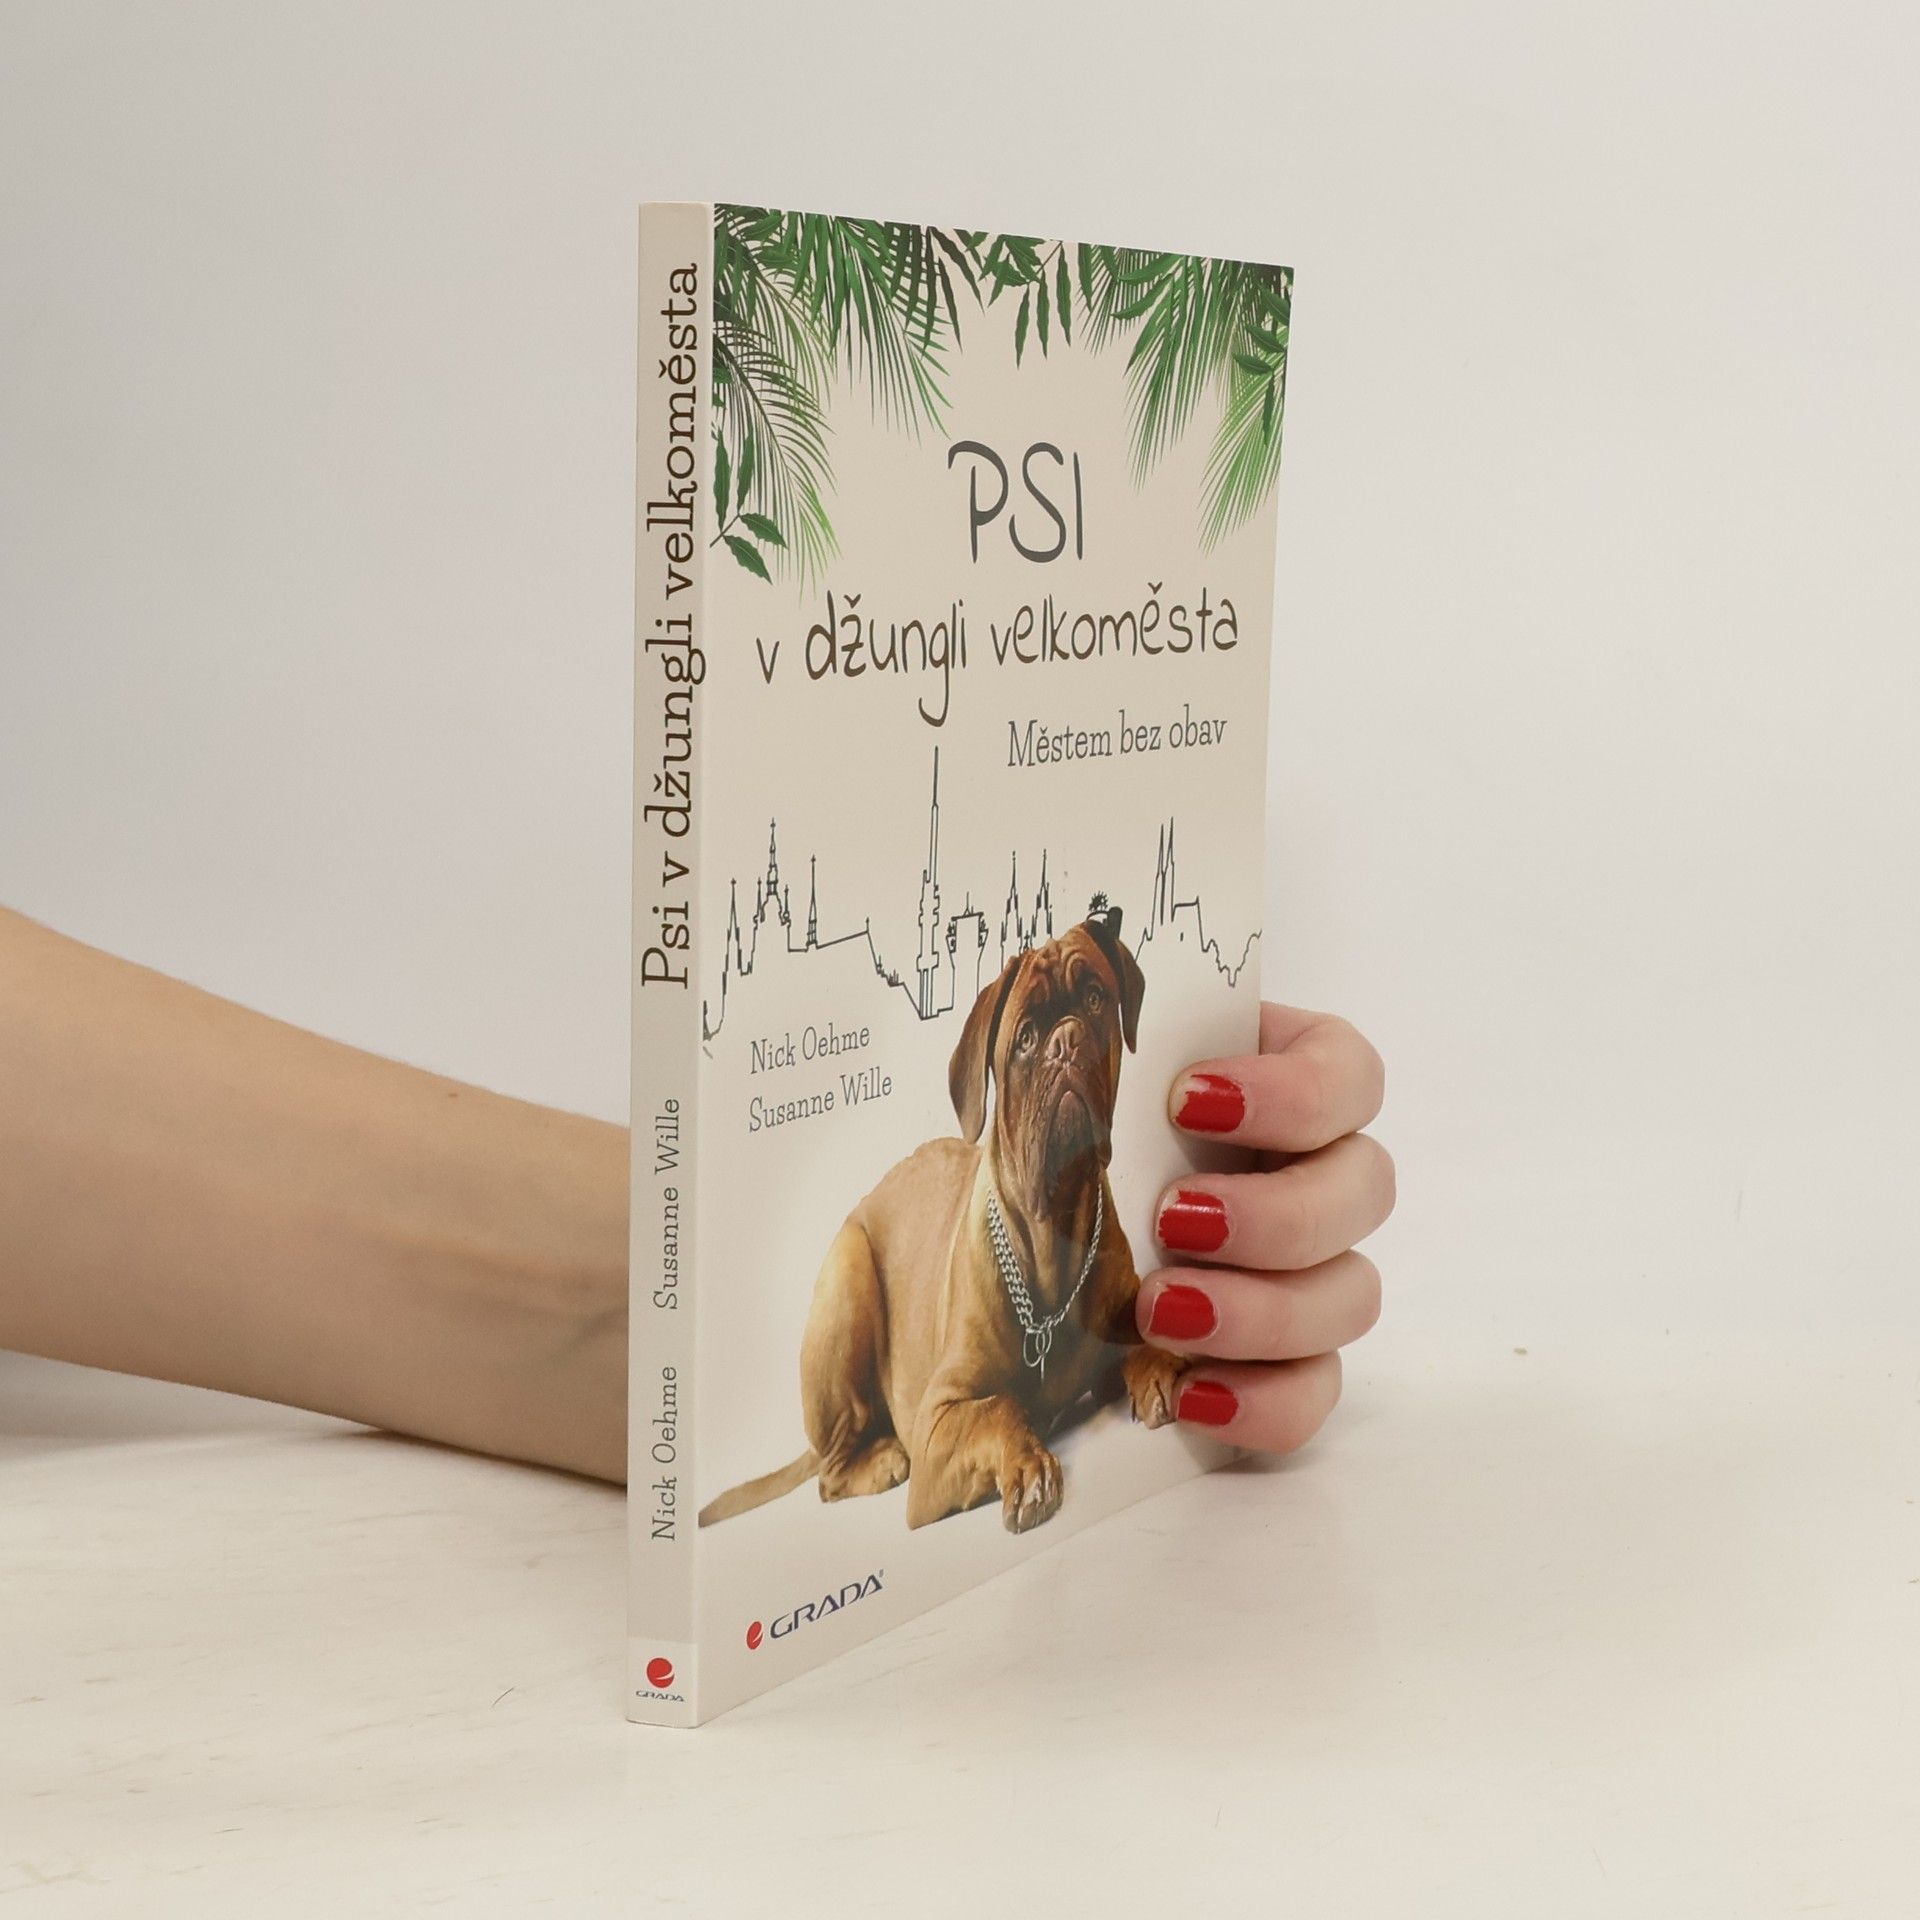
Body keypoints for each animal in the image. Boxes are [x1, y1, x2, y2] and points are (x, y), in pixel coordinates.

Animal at [699, 904, 1188, 1534]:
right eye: (1025, 1038)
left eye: (1096, 998)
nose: (1066, 1039)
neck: (1051, 1233)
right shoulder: (939, 1425)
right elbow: (1000, 1408)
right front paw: (1028, 1466)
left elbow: (1140, 1331)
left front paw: (1158, 1364)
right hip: (847, 1278)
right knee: (830, 1477)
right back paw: (881, 1458)